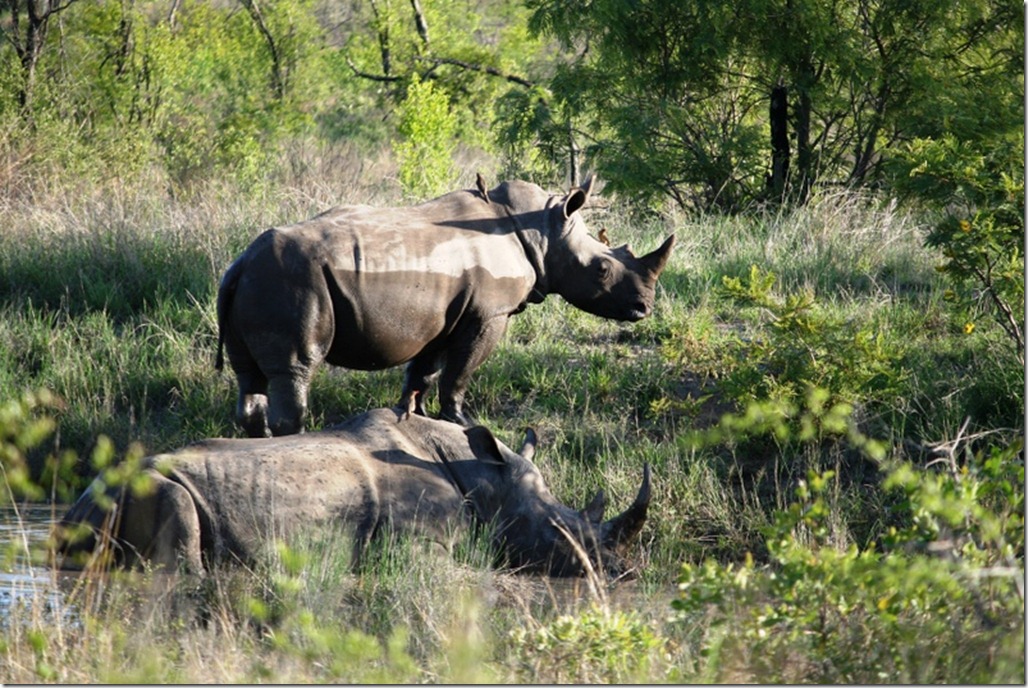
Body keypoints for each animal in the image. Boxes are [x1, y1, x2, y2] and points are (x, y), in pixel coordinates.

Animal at [214, 175, 674, 433]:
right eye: (601, 269)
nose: (644, 308)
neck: (543, 232)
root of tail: (240, 264)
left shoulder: (442, 314)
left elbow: (425, 371)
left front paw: (413, 418)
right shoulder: (489, 314)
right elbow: (460, 371)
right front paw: (463, 422)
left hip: (253, 282)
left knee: (249, 378)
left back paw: (258, 441)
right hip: (290, 281)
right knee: (296, 367)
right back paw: (293, 439)